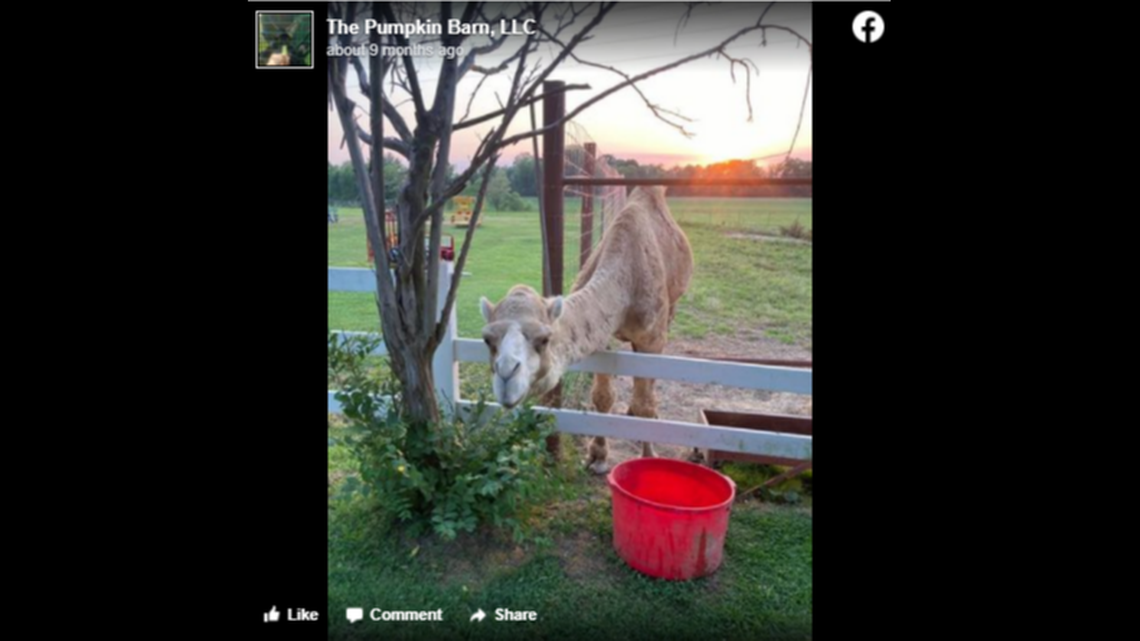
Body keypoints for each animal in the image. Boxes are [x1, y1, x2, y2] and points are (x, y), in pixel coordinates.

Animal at [479, 186, 693, 474]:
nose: (506, 377)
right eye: (487, 339)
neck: (626, 281)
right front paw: (598, 456)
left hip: (672, 307)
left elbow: (645, 403)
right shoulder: (601, 338)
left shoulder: (653, 335)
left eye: (544, 339)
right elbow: (602, 396)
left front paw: (648, 455)